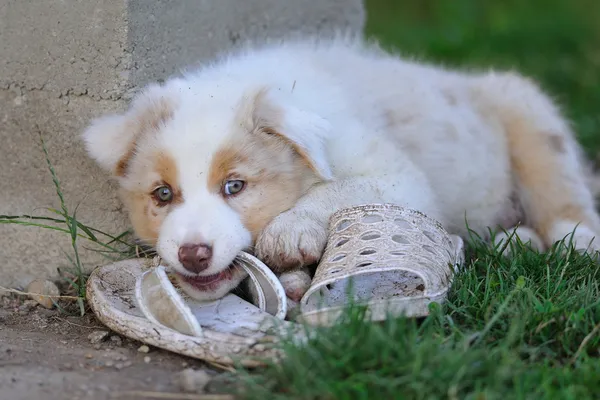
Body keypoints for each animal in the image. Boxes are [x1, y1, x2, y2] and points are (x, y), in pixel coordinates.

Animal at [83, 37, 600, 302]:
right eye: (162, 194)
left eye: (235, 186)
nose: (193, 255)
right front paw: (293, 281)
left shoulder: (396, 174)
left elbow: (341, 190)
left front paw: (291, 231)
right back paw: (515, 241)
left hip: (528, 112)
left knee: (563, 190)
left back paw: (575, 239)